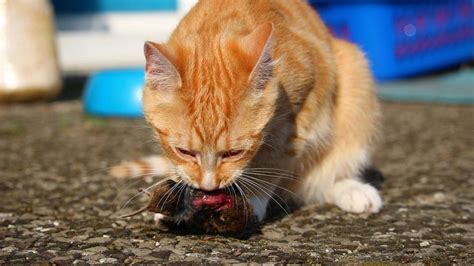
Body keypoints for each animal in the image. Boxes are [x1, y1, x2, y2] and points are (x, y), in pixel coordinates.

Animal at [111, 0, 382, 220]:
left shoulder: (300, 118)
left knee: (324, 179)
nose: (208, 186)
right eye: (184, 151)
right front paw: (175, 198)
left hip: (355, 75)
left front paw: (251, 200)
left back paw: (353, 191)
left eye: (234, 153)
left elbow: (272, 161)